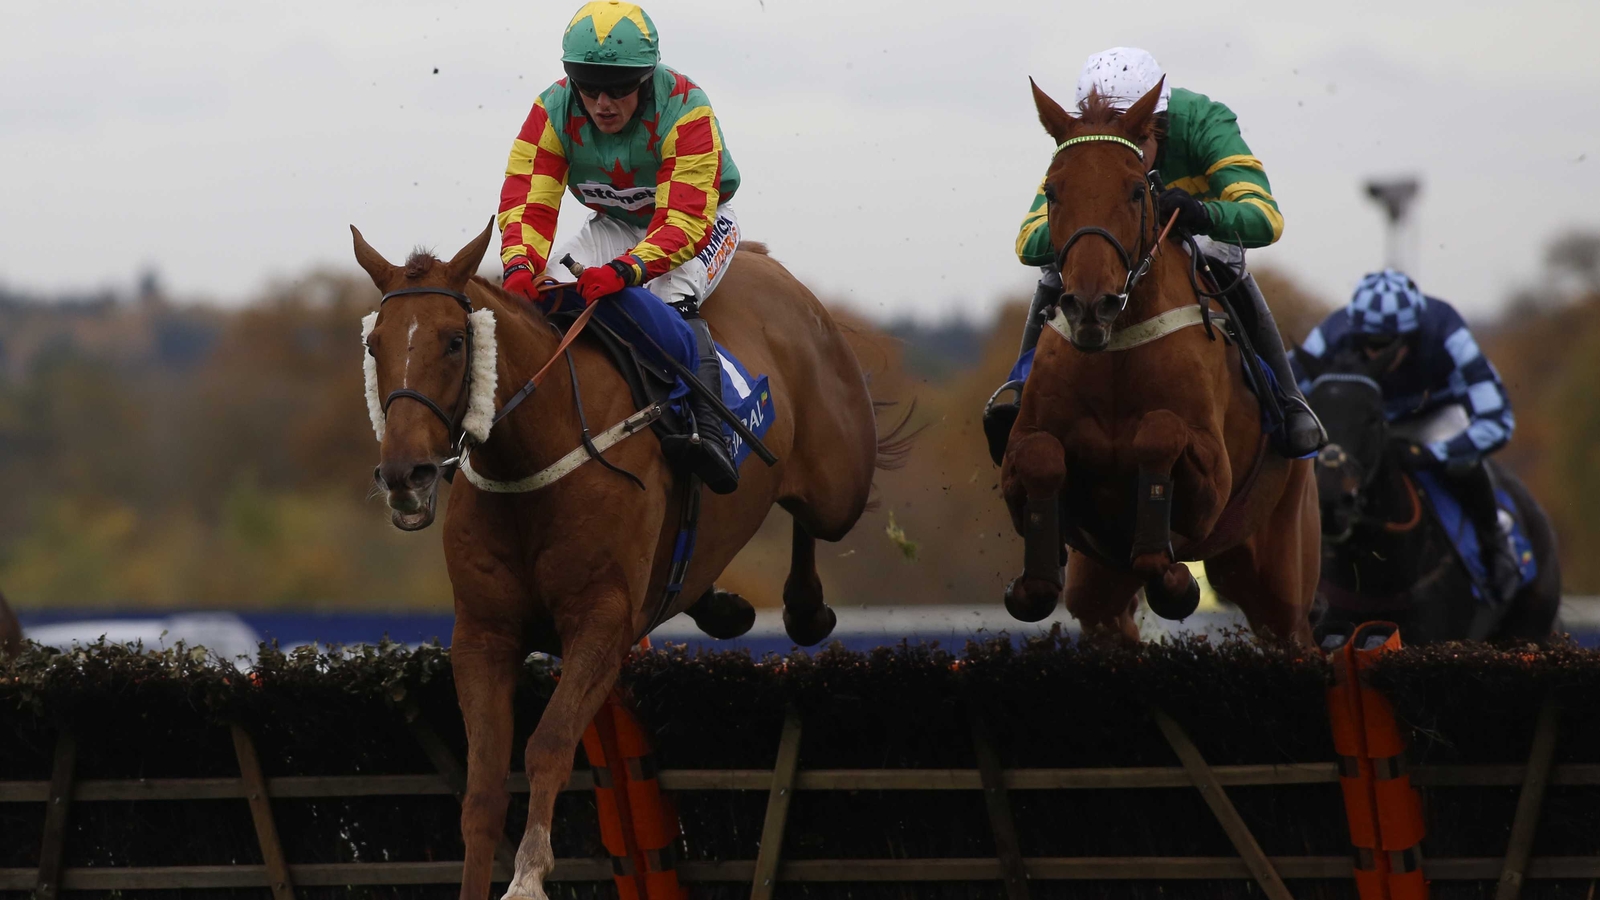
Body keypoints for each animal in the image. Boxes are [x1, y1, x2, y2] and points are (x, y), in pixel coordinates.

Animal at [353, 222, 902, 896]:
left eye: (455, 341)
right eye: (375, 344)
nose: (405, 475)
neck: (537, 455)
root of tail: (768, 268)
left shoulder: (602, 622)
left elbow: (549, 742)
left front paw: (528, 877)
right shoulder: (482, 633)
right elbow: (482, 788)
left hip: (837, 484)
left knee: (814, 519)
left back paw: (804, 610)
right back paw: (721, 605)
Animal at [998, 76, 1324, 637]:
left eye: (1135, 189)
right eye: (1053, 189)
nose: (1091, 305)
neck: (1114, 353)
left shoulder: (1213, 474)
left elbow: (1160, 432)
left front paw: (1172, 578)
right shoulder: (1022, 458)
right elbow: (1041, 455)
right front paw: (1034, 583)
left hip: (1281, 580)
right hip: (1100, 586)